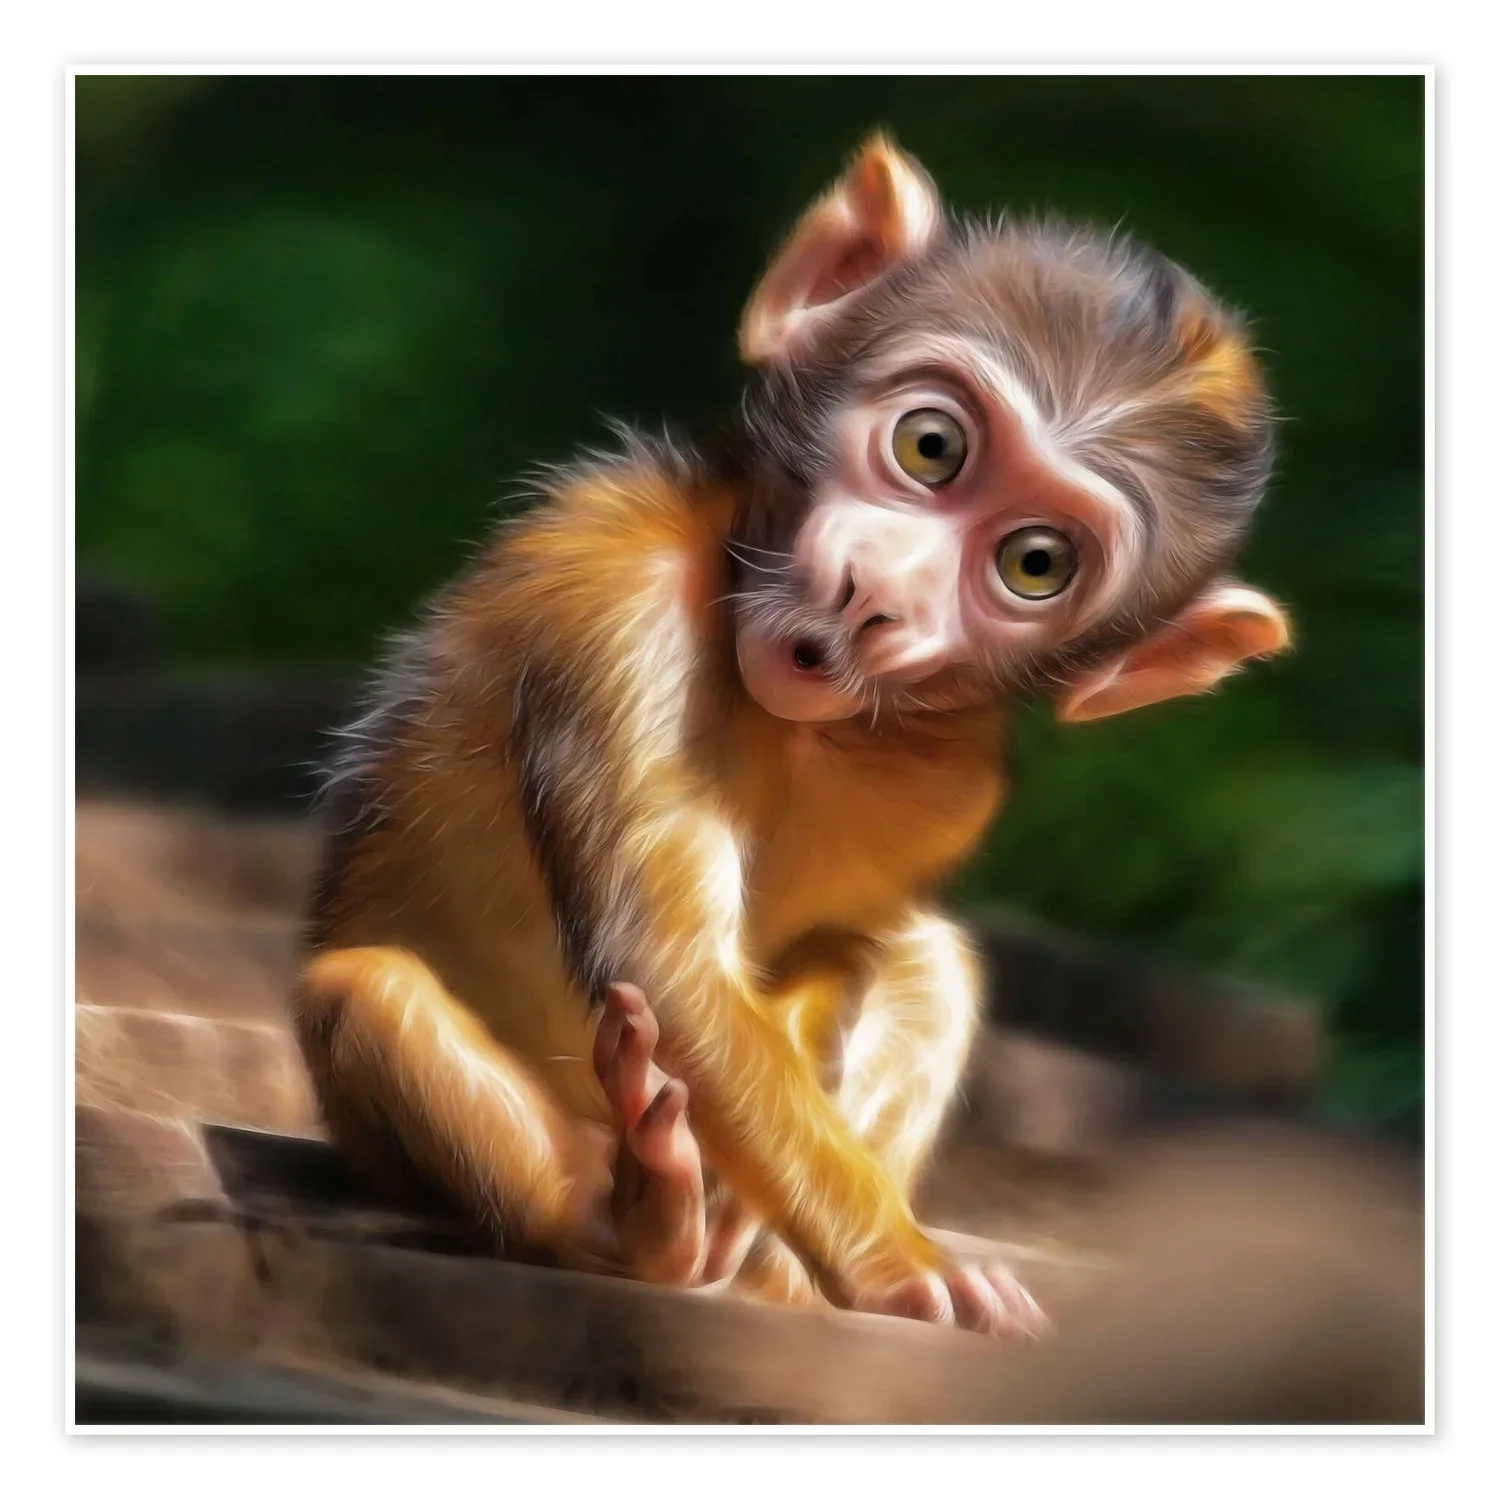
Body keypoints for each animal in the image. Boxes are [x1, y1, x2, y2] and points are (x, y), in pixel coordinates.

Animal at [292, 134, 1290, 1337]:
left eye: (1035, 563)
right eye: (931, 447)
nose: (879, 595)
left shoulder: (951, 777)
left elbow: (845, 947)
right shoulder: (617, 605)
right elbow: (670, 969)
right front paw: (900, 1264)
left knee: (928, 964)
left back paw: (747, 1254)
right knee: (371, 995)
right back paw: (639, 1228)